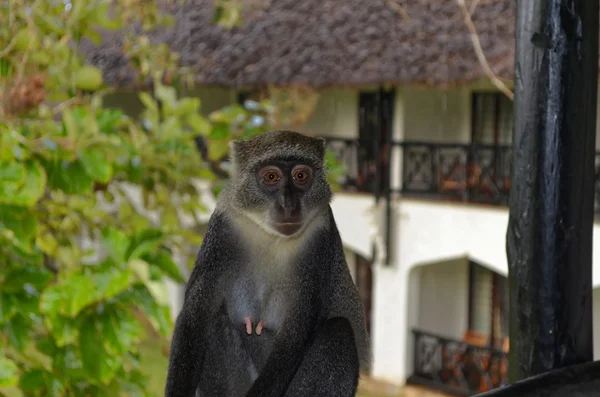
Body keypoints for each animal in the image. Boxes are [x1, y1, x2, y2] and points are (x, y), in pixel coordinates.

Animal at [164, 130, 370, 396]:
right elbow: (196, 315)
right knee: (217, 320)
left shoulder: (320, 239)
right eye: (271, 177)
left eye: (300, 176)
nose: (288, 205)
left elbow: (296, 333)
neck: (270, 235)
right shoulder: (222, 227)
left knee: (339, 330)